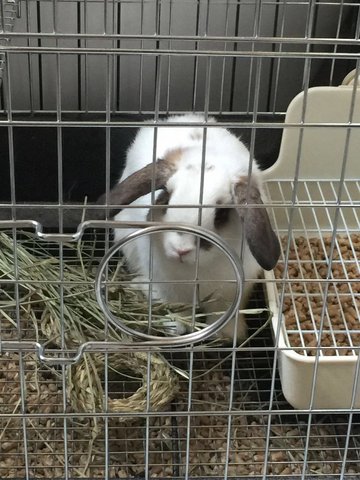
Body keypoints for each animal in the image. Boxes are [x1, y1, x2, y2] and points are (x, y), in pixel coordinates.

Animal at [100, 114, 282, 342]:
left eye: (221, 214)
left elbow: (223, 312)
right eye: (166, 199)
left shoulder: (231, 292)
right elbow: (179, 309)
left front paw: (228, 334)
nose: (181, 250)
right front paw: (177, 328)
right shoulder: (169, 286)